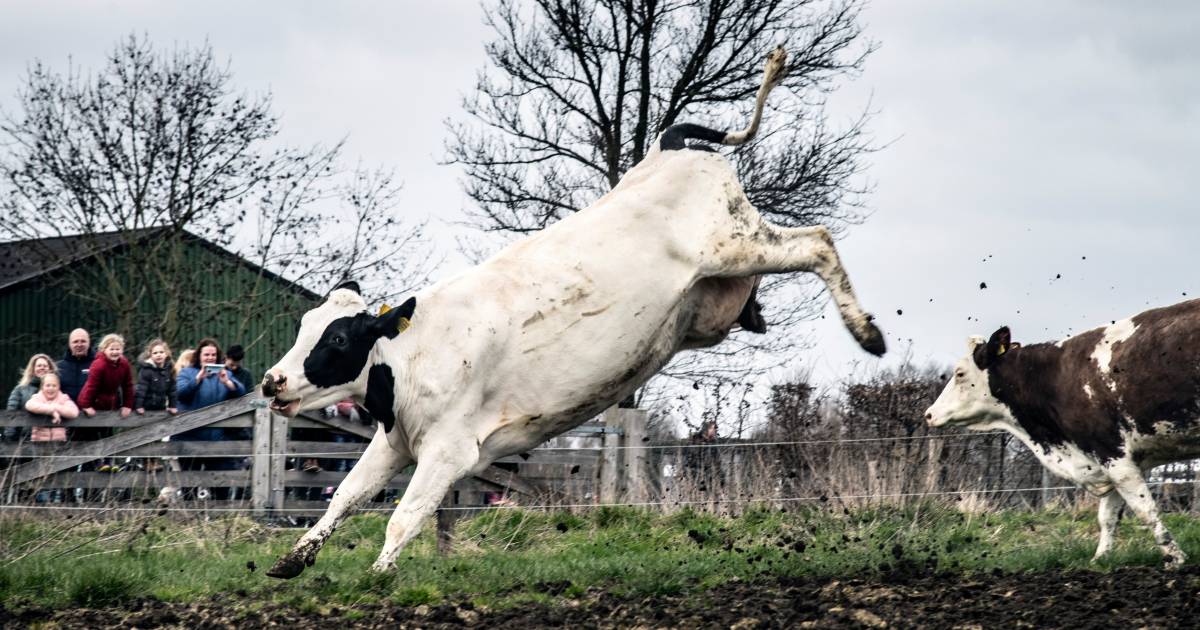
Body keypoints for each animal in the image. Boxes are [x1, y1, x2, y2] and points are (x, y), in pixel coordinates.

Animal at [260, 47, 886, 579]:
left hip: (735, 243)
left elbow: (403, 517)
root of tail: (670, 148)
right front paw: (294, 558)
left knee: (818, 242)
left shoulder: (449, 450)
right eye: (305, 327)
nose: (271, 381)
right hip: (715, 292)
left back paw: (868, 333)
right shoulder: (395, 442)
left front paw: (380, 577)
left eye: (339, 340)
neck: (416, 351)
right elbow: (347, 496)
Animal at [924, 299, 1200, 566]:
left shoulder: (1112, 454)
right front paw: (1100, 558)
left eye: (960, 374)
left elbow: (1145, 510)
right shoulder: (1113, 460)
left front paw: (1175, 557)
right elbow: (1108, 516)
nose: (929, 414)